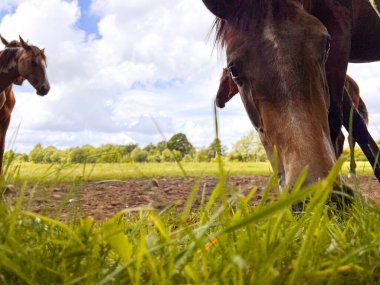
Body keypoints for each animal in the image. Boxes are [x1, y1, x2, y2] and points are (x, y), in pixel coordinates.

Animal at [203, 1, 380, 187]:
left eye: (326, 45)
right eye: (233, 70)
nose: (310, 184)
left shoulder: (340, 37)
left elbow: (337, 122)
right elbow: (355, 125)